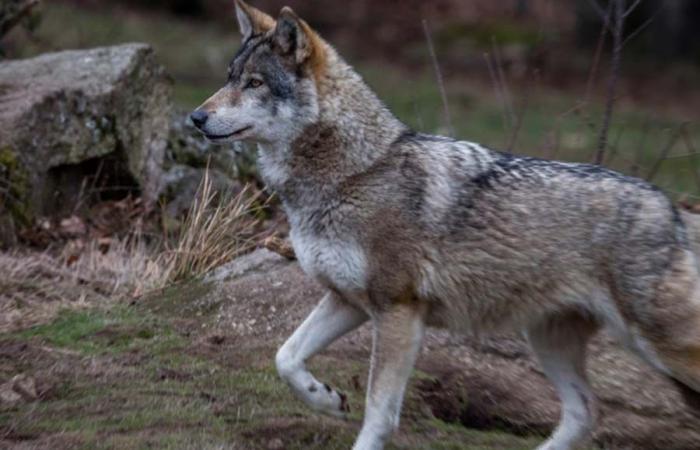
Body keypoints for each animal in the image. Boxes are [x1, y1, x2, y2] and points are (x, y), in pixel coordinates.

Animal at [190, 1, 700, 448]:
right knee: (586, 412)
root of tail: (670, 208)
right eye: (230, 78)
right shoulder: (347, 301)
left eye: (255, 83)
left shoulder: (398, 311)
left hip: (653, 346)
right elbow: (285, 357)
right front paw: (327, 400)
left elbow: (380, 412)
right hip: (549, 340)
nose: (196, 117)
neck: (355, 171)